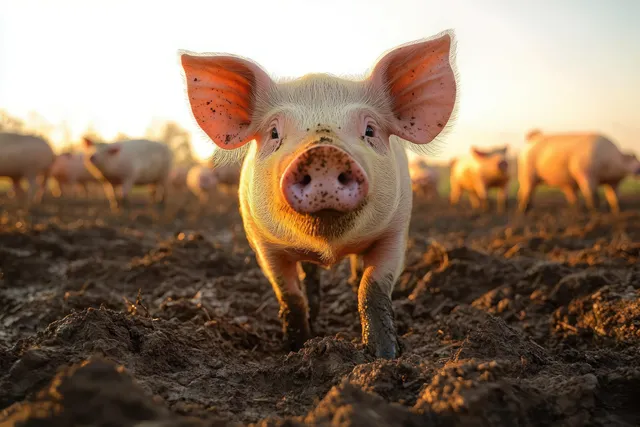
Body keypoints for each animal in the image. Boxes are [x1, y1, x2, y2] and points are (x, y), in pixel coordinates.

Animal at [179, 30, 458, 359]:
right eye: (274, 133)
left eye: (370, 130)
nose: (324, 153)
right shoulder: (261, 240)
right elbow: (289, 293)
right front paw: (295, 348)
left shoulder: (397, 228)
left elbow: (372, 287)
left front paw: (385, 355)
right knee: (309, 277)